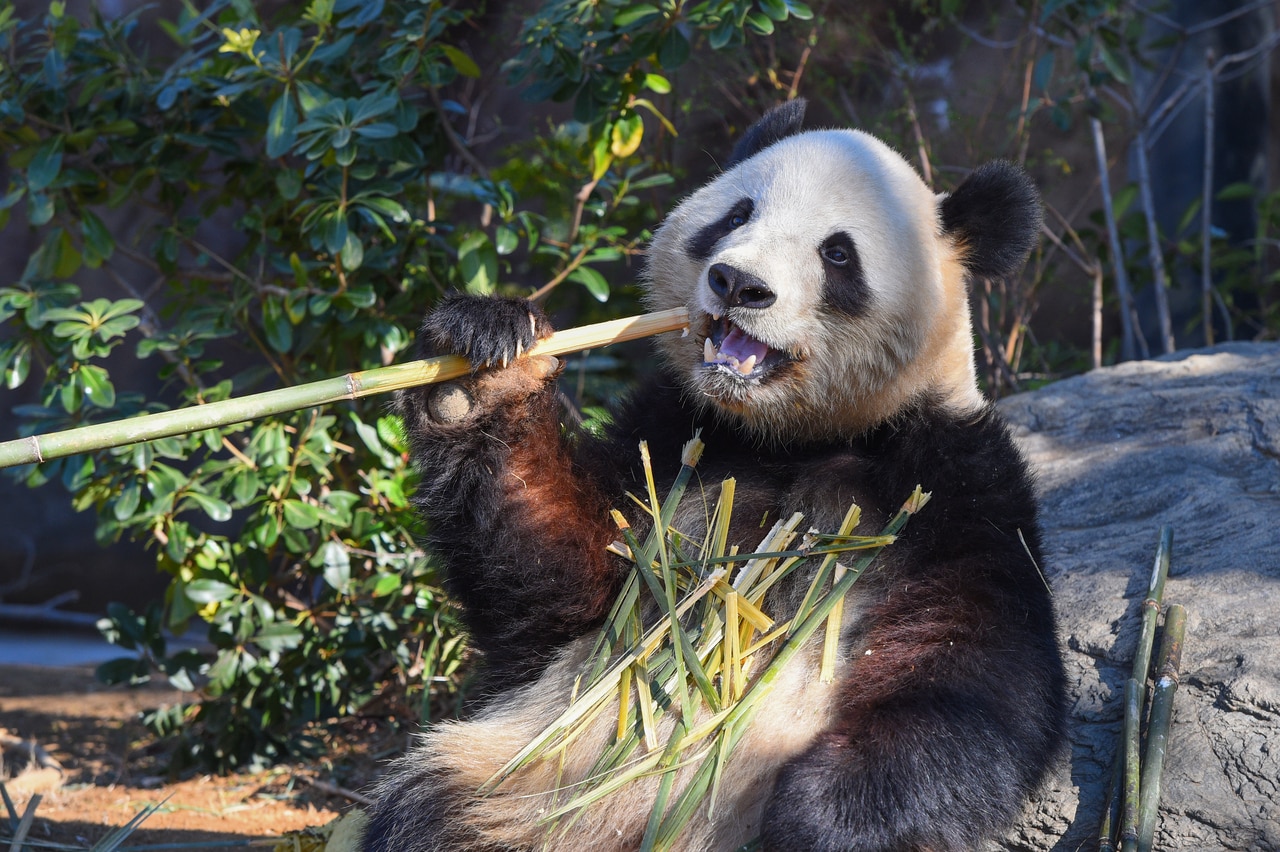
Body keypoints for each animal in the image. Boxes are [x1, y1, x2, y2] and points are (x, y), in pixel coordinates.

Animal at [363, 101, 1070, 849]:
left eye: (838, 253)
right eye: (737, 213)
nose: (738, 284)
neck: (791, 437)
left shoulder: (953, 487)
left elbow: (970, 673)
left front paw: (821, 818)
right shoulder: (670, 439)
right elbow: (564, 579)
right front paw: (482, 373)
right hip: (504, 788)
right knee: (425, 814)